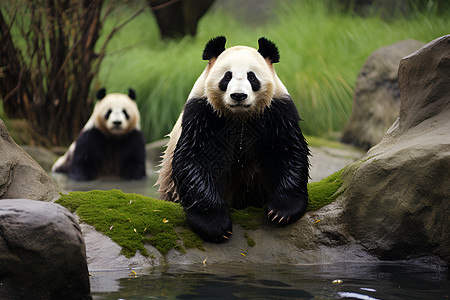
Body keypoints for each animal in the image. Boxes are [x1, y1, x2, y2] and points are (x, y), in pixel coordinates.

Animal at [156, 37, 310, 244]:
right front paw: (215, 225)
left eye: (251, 77)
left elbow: (286, 151)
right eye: (227, 76)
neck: (240, 117)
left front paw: (281, 211)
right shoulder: (203, 113)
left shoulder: (276, 110)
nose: (238, 95)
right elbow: (197, 160)